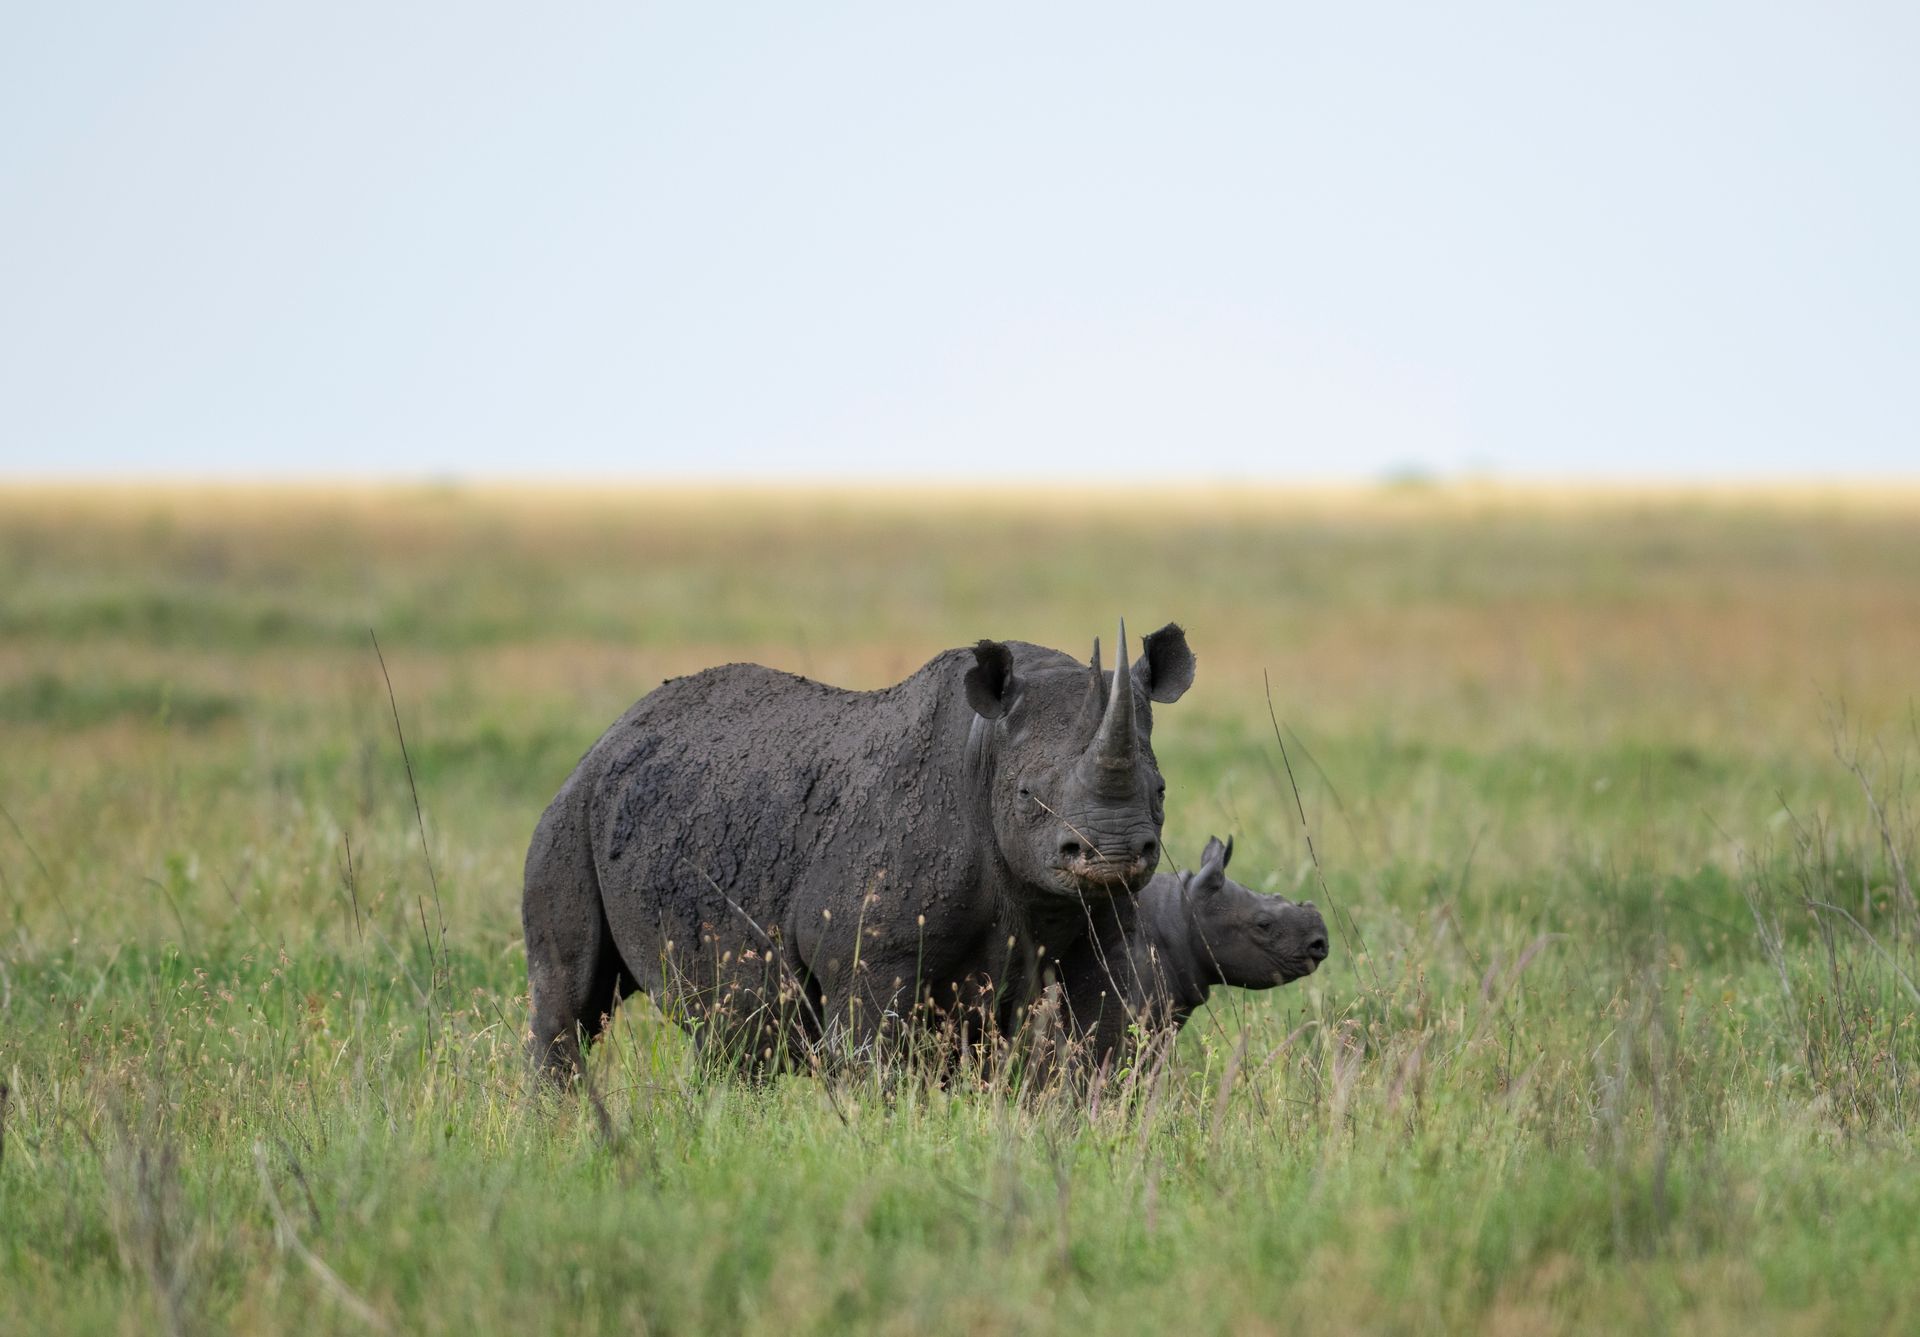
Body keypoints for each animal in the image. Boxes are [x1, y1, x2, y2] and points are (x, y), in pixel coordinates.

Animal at [522, 621, 1195, 1080]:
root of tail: (612, 732)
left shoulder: (1102, 925)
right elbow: (874, 1061)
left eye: (1161, 790)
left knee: (733, 1035)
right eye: (1028, 795)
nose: (1112, 854)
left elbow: (1100, 1036)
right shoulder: (872, 955)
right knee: (570, 1000)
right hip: (571, 810)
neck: (985, 748)